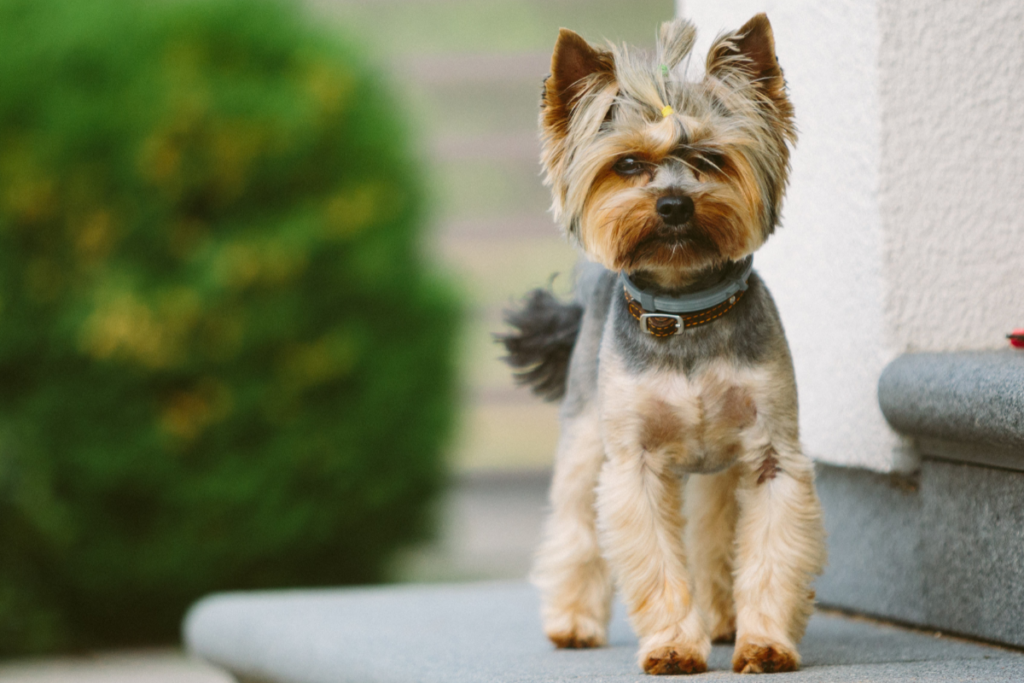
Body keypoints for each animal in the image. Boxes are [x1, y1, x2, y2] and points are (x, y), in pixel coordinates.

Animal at [499, 13, 827, 675]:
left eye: (710, 158)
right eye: (628, 164)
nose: (674, 204)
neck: (686, 312)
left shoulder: (770, 453)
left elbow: (769, 552)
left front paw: (766, 642)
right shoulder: (636, 463)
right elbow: (654, 561)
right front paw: (675, 646)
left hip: (714, 469)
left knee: (711, 533)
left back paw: (723, 618)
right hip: (585, 434)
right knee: (575, 525)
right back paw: (572, 622)